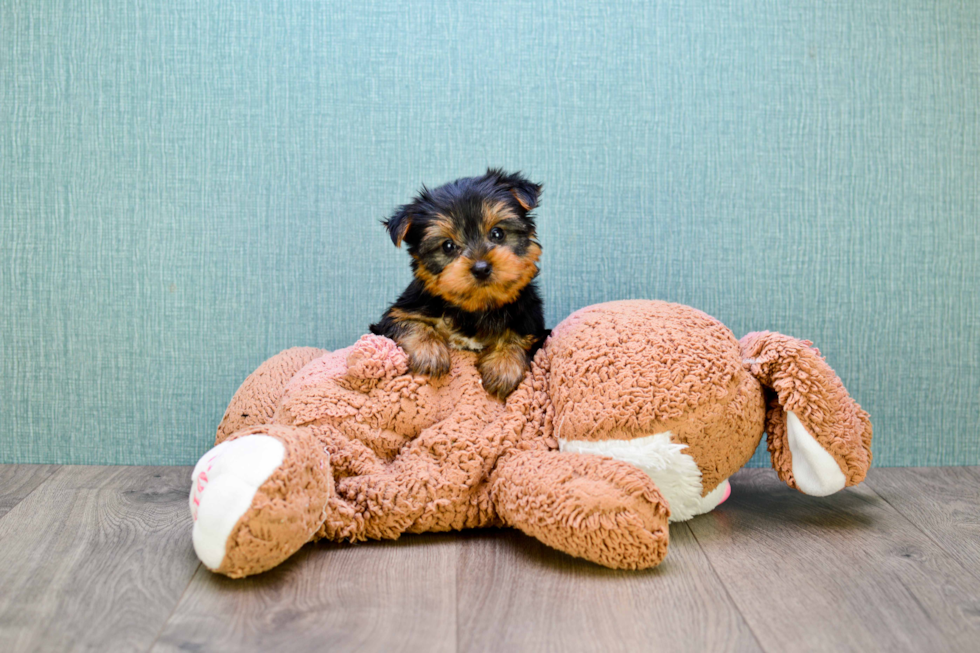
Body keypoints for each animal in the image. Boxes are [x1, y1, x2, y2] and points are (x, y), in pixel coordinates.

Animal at [372, 169, 548, 398]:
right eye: (447, 246)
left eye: (498, 233)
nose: (481, 268)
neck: (476, 307)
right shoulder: (395, 316)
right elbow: (409, 323)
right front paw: (429, 353)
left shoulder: (532, 323)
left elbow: (519, 337)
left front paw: (504, 366)